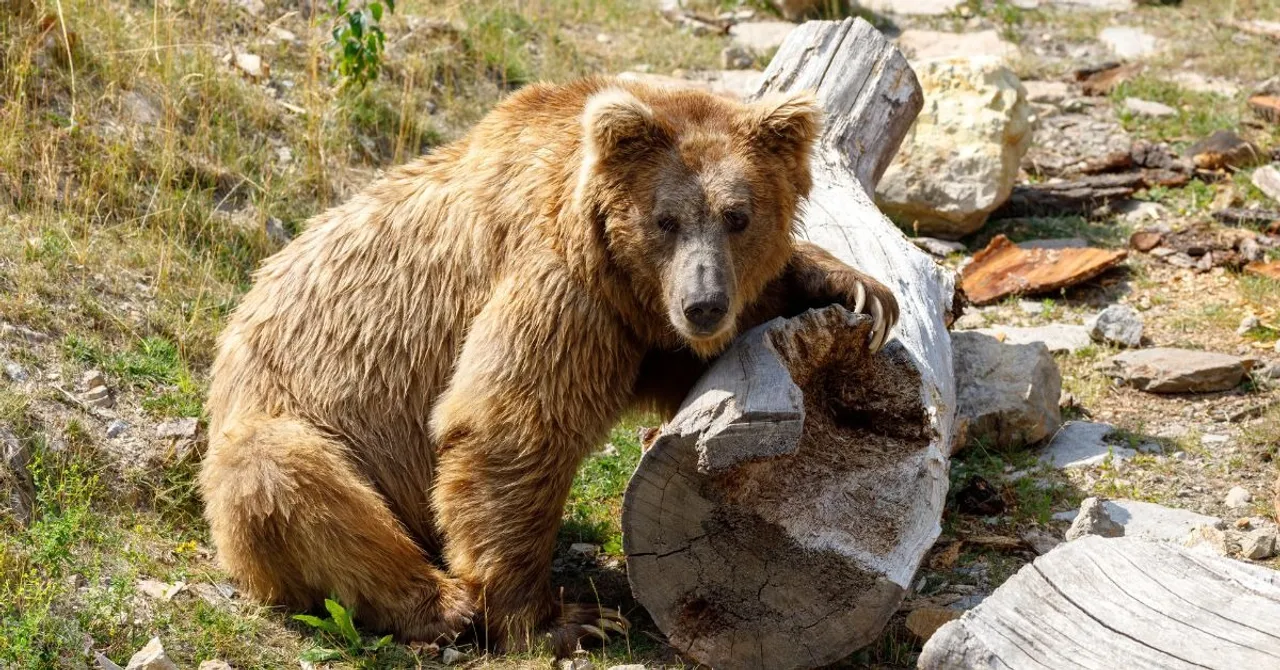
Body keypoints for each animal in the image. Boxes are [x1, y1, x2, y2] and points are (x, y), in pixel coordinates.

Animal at [198, 76, 899, 655]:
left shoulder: (636, 326)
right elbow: (511, 425)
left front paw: (854, 288)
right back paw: (444, 604)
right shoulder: (561, 282)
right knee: (287, 482)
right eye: (666, 219)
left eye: (738, 215)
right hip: (293, 425)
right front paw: (565, 620)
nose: (703, 304)